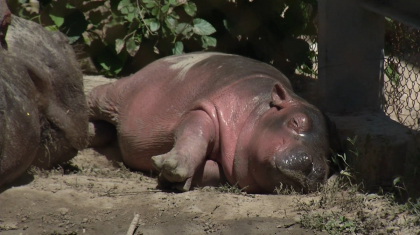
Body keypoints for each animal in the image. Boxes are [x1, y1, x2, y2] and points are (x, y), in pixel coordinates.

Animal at [89, 52, 332, 194]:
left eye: (330, 156)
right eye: (296, 121)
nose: (316, 168)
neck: (259, 110)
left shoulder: (231, 170)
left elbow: (212, 170)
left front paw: (172, 178)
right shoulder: (206, 109)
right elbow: (195, 135)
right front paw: (172, 166)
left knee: (107, 130)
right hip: (120, 92)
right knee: (97, 96)